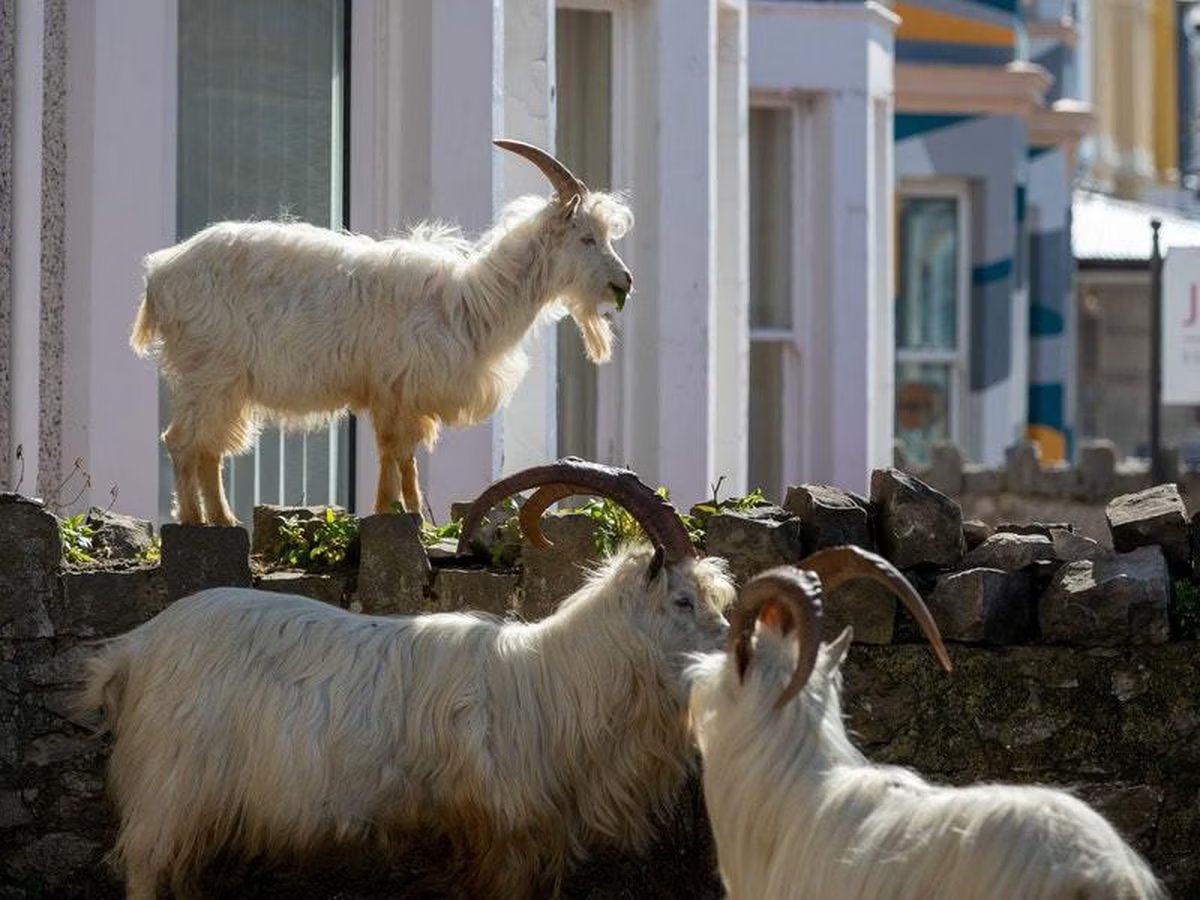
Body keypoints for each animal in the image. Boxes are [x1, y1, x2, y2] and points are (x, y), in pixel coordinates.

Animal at [82, 460, 731, 899]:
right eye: (682, 600)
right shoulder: (503, 839)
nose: (731, 656)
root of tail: (138, 647)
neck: (554, 680)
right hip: (169, 792)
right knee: (144, 870)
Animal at [131, 141, 633, 524]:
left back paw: (221, 519)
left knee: (207, 449)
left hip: (223, 385)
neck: (472, 301)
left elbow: (402, 459)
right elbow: (396, 453)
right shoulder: (396, 388)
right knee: (183, 442)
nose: (624, 283)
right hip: (209, 374)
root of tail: (160, 273)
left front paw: (407, 515)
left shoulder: (400, 395)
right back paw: (197, 521)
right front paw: (396, 514)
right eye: (587, 237)